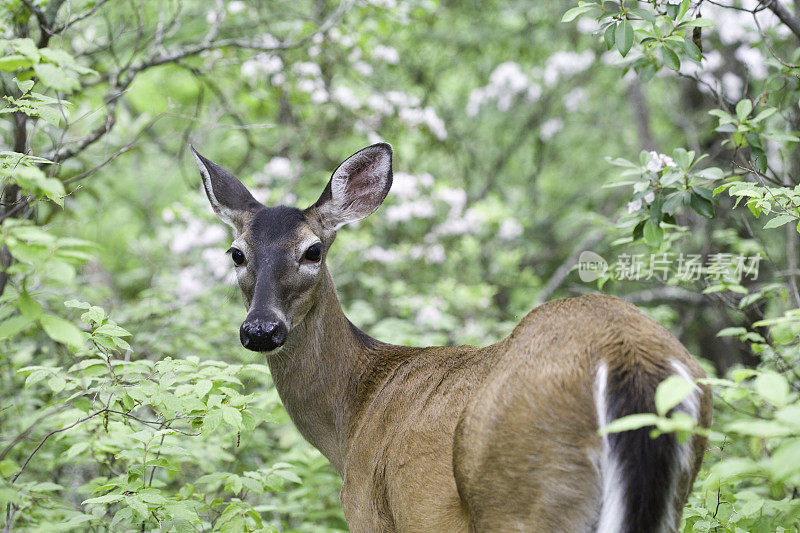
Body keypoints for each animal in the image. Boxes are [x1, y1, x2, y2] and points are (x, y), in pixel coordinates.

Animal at [192, 142, 712, 532]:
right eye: (236, 253)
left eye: (313, 251)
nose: (262, 329)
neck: (353, 414)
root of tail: (626, 359)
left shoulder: (368, 513)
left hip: (522, 495)